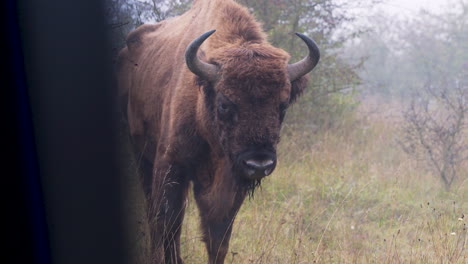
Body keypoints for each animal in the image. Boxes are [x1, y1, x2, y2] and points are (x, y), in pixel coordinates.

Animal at [119, 0, 320, 262]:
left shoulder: (229, 183)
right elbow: (168, 222)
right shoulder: (170, 165)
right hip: (141, 153)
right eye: (225, 104)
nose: (259, 164)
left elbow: (218, 235)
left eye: (283, 105)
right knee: (155, 214)